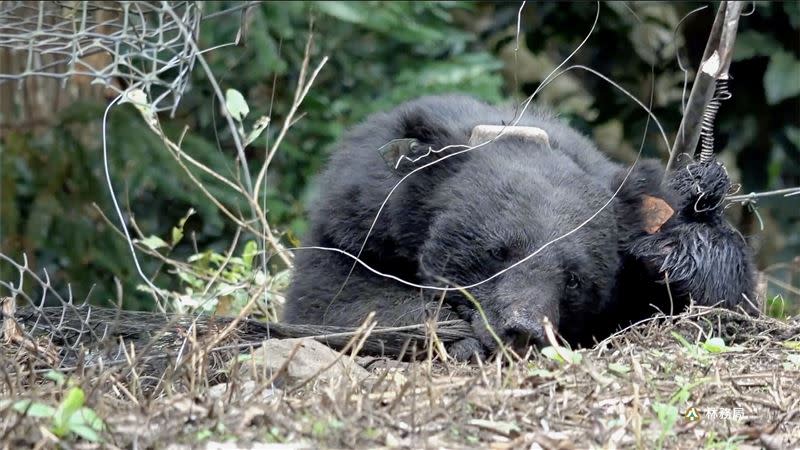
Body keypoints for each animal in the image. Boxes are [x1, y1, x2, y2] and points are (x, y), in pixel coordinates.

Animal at [282, 94, 756, 358]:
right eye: (496, 253)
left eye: (574, 279)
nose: (523, 331)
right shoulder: (357, 222)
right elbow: (334, 300)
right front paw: (455, 337)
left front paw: (688, 228)